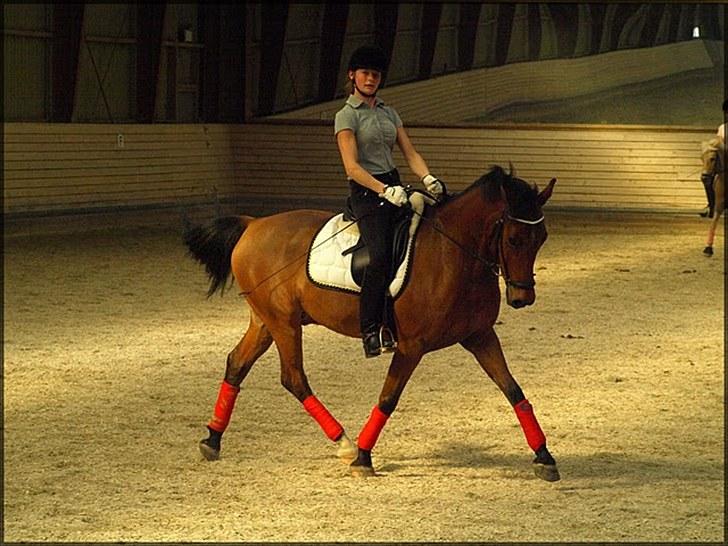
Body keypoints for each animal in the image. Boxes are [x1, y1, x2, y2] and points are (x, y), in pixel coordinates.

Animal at [185, 166, 560, 480]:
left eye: (542, 237)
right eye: (513, 239)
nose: (522, 297)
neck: (453, 254)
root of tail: (253, 224)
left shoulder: (480, 336)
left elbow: (513, 390)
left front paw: (544, 456)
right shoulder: (411, 347)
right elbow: (388, 397)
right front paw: (363, 457)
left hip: (265, 322)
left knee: (237, 363)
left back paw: (212, 439)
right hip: (283, 323)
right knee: (293, 378)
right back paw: (344, 442)